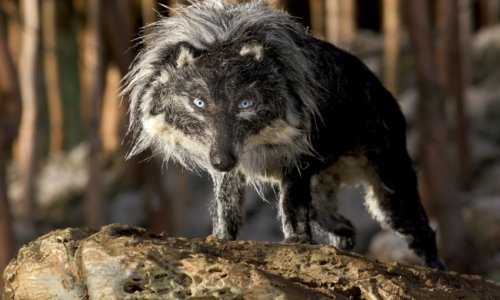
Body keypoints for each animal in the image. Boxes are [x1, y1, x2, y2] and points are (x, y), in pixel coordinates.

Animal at [122, 0, 446, 268]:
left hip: (390, 192)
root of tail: (384, 91)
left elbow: (291, 209)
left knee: (423, 231)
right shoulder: (232, 173)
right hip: (324, 199)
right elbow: (226, 209)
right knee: (346, 227)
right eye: (198, 102)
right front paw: (221, 240)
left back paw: (436, 270)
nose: (222, 160)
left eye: (245, 103)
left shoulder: (296, 167)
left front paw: (297, 244)